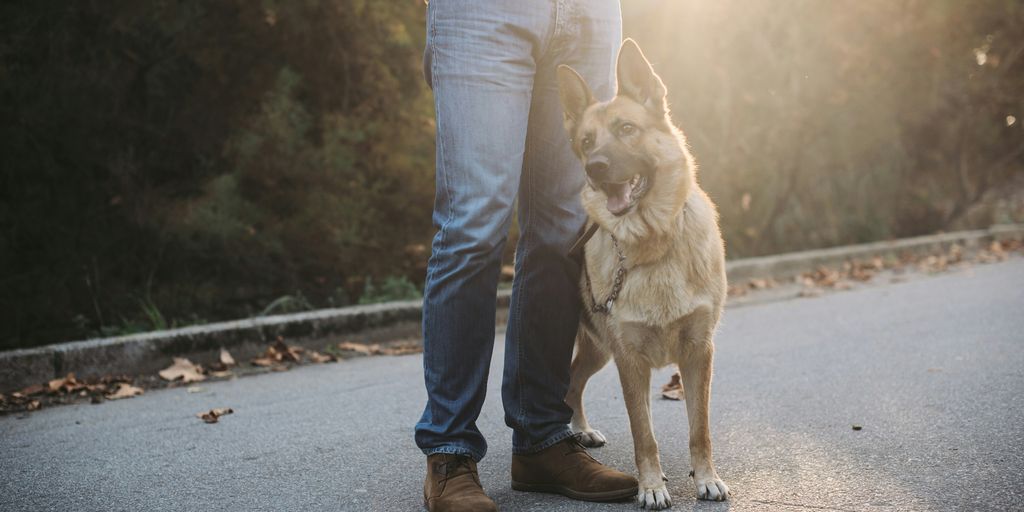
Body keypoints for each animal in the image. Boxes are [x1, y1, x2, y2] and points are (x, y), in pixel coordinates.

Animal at [557, 39, 733, 507]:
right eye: (586, 141)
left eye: (626, 129)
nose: (595, 168)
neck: (654, 244)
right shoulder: (629, 361)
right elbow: (644, 434)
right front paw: (651, 485)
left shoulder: (698, 353)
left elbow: (699, 429)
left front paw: (706, 478)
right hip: (598, 348)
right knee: (566, 384)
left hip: (598, 352)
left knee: (572, 383)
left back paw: (580, 430)